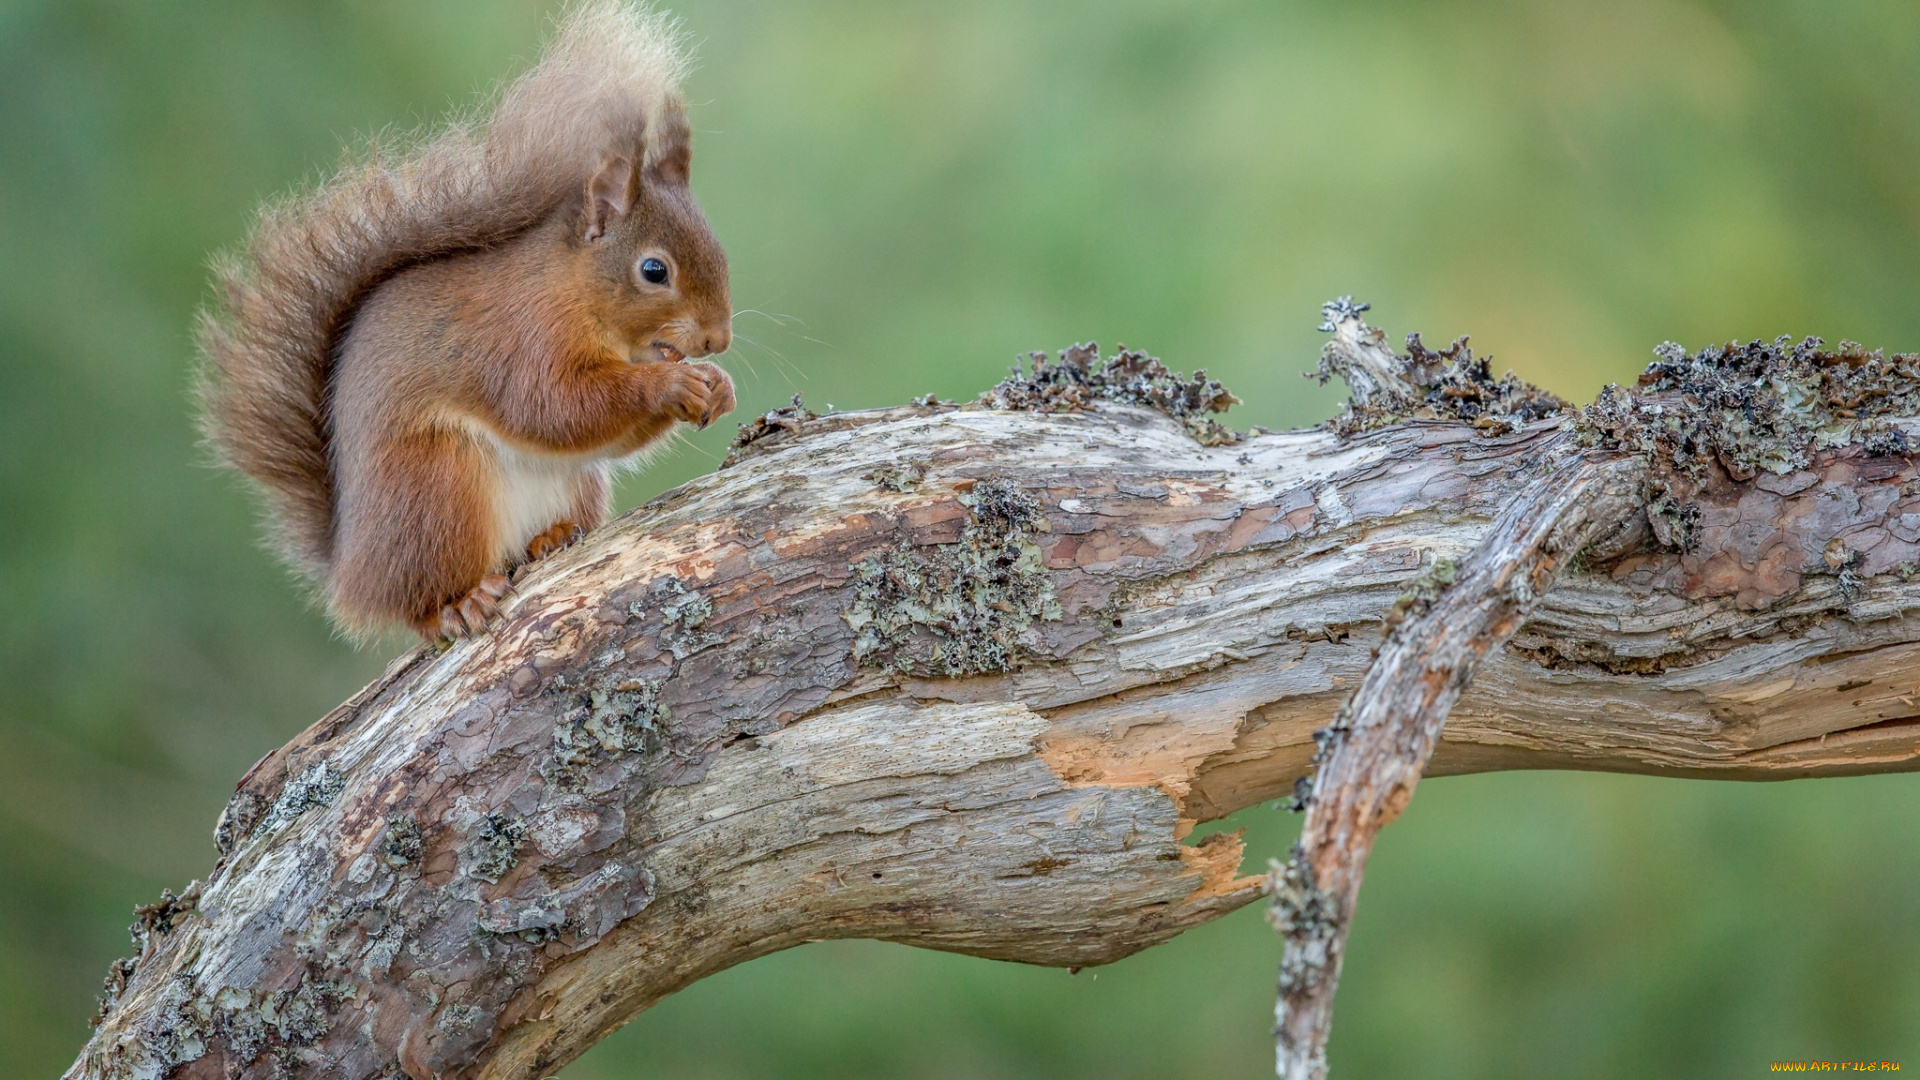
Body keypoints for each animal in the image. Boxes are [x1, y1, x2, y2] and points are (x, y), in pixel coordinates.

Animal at [194, 0, 729, 634]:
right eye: (653, 270)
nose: (718, 340)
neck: (573, 292)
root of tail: (352, 568)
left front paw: (717, 385)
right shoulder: (521, 340)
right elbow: (555, 407)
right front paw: (669, 383)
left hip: (571, 484)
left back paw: (552, 537)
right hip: (437, 489)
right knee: (421, 602)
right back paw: (459, 602)